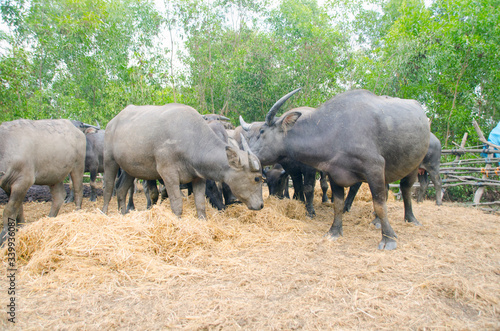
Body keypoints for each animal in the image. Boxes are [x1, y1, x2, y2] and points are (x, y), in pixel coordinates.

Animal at [102, 104, 266, 218]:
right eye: (257, 178)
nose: (261, 205)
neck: (191, 141)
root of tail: (112, 123)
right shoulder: (168, 175)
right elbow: (177, 205)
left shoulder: (198, 178)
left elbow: (200, 204)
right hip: (110, 161)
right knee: (109, 188)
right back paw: (104, 212)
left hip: (129, 169)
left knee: (121, 189)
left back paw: (123, 214)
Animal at [246, 89, 430, 250]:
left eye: (262, 131)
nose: (247, 155)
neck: (335, 130)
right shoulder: (335, 175)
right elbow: (338, 204)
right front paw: (334, 231)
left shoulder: (374, 168)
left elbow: (380, 204)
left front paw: (388, 238)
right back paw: (377, 221)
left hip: (413, 166)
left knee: (405, 189)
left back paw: (411, 218)